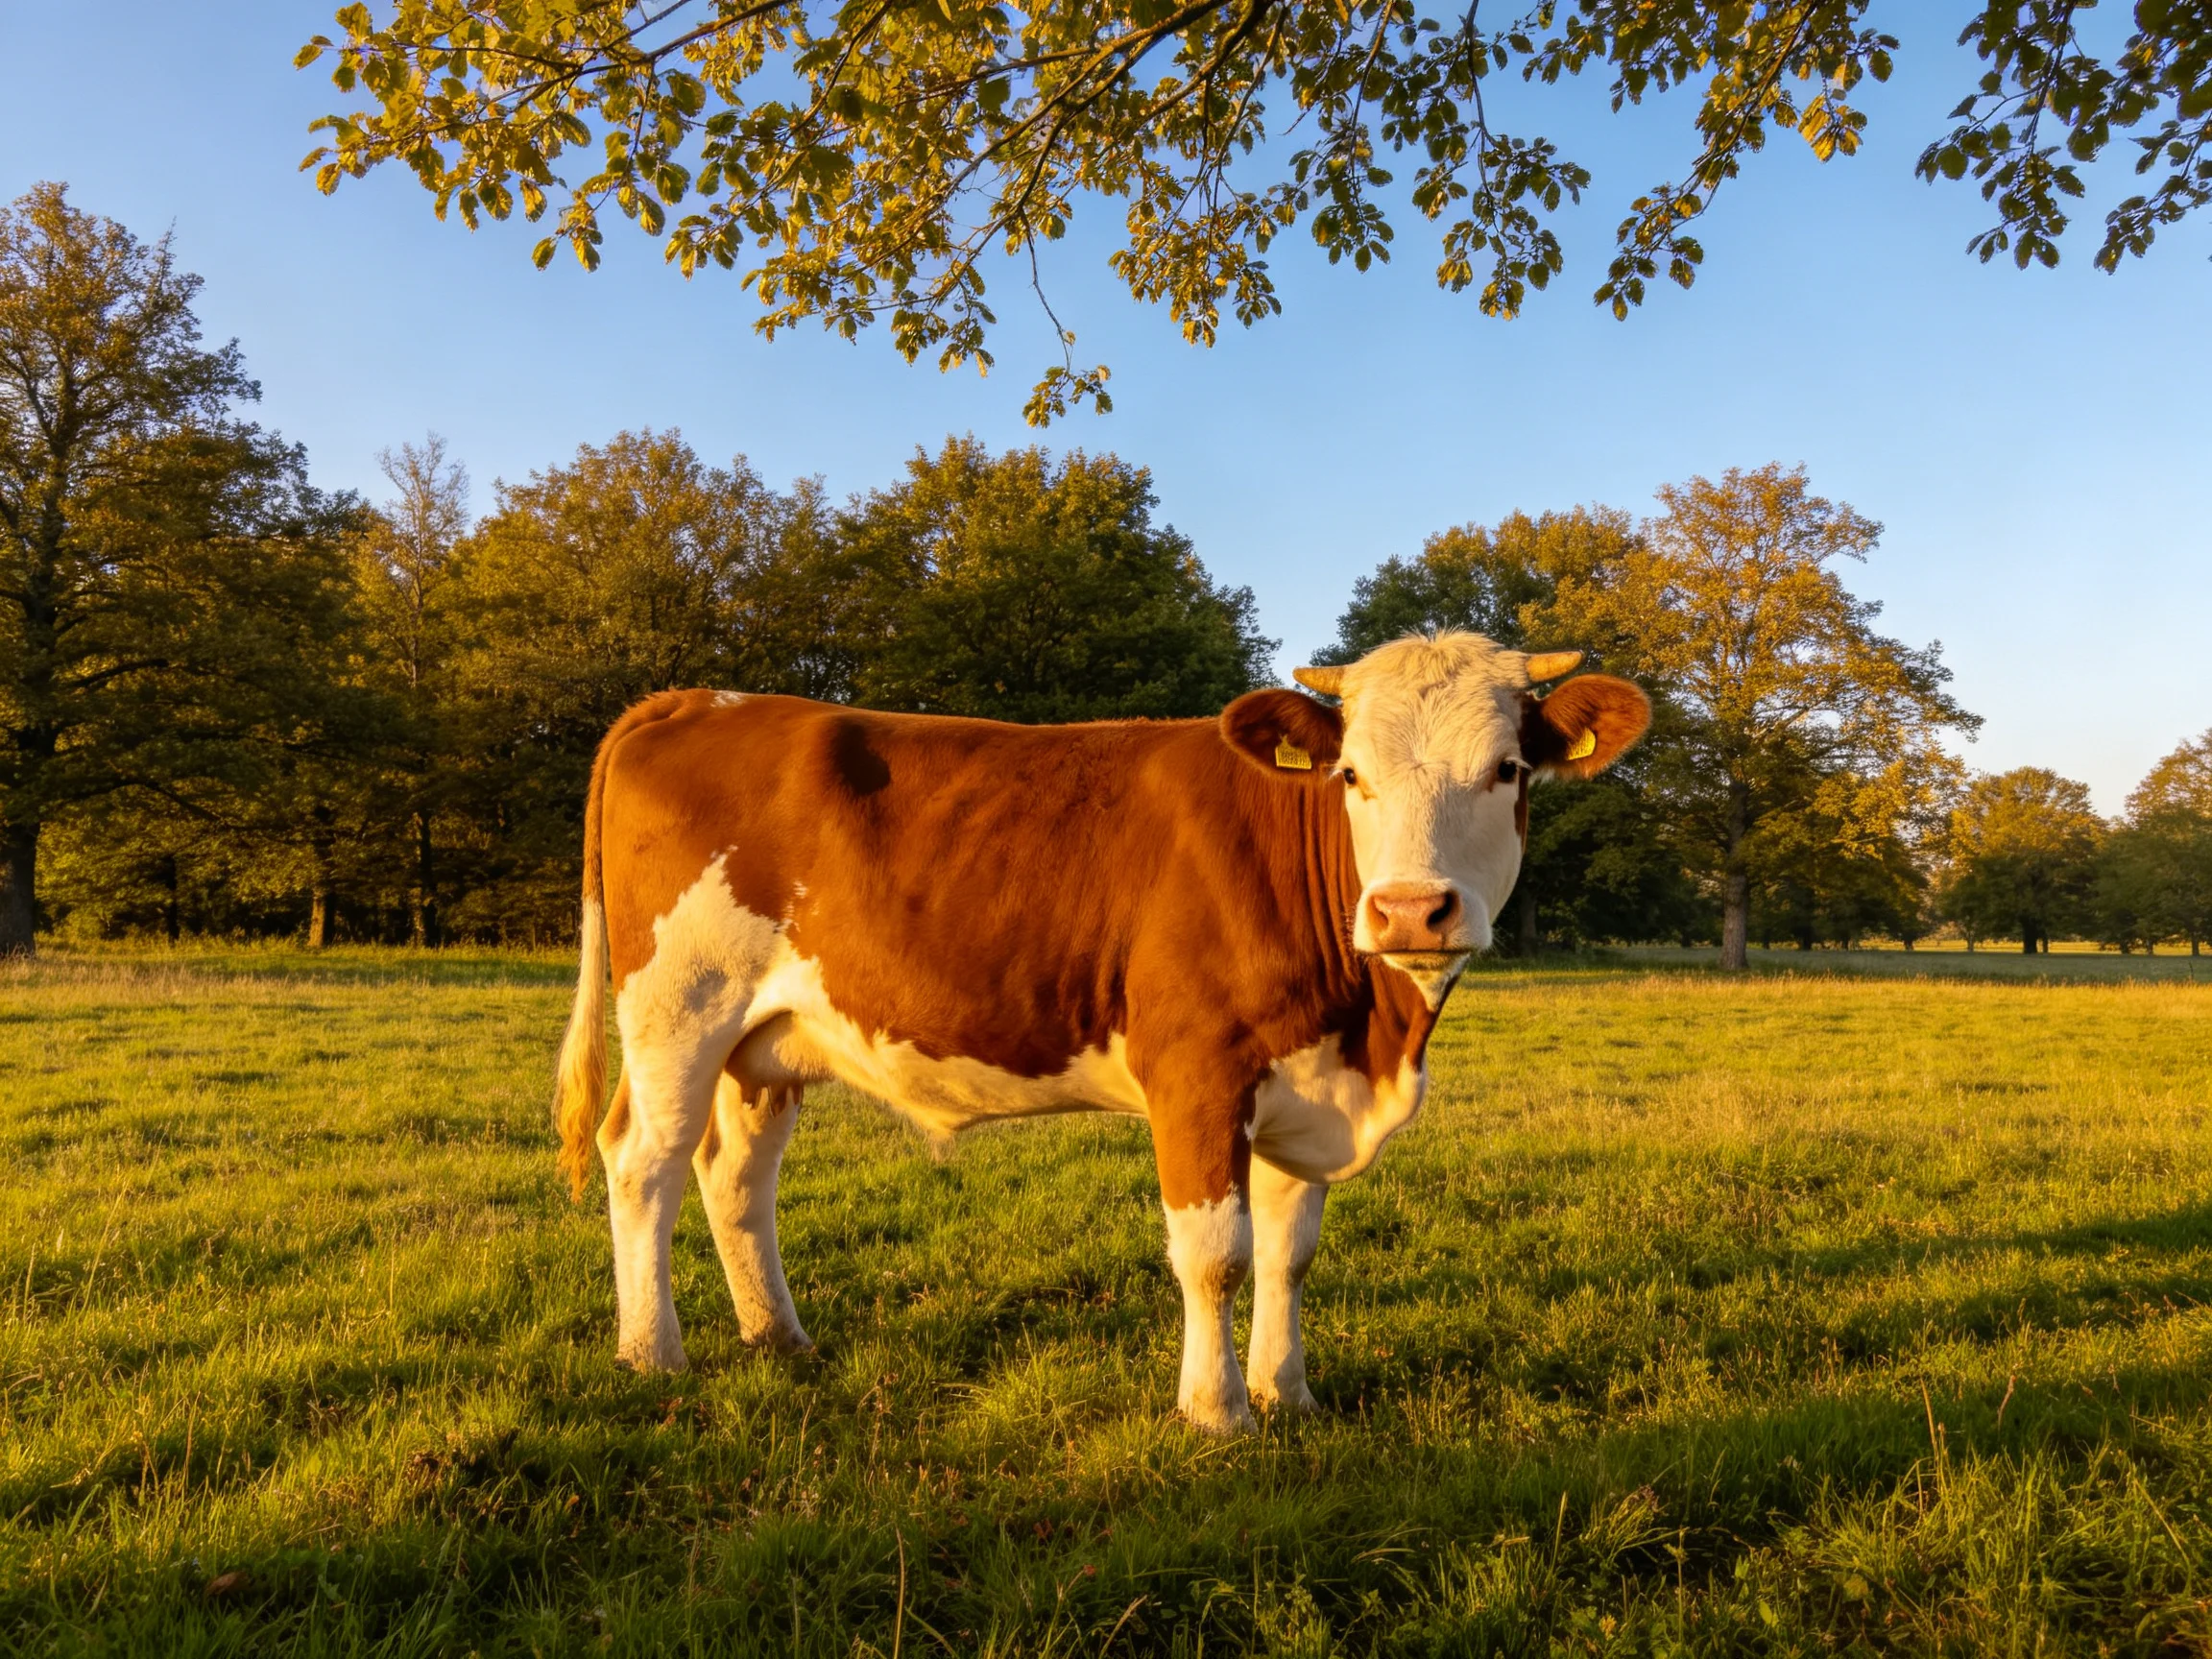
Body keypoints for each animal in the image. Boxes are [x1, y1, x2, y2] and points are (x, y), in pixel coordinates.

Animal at [552, 630, 1650, 1432]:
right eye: (1349, 776)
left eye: (1507, 770)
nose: (1411, 911)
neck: (1370, 1033)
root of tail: (700, 698)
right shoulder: (1197, 1072)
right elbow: (1215, 1253)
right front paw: (1216, 1413)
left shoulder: (1301, 1082)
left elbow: (1289, 1251)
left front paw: (1286, 1393)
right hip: (677, 1008)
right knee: (644, 1161)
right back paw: (652, 1354)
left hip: (765, 1039)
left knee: (735, 1171)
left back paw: (777, 1338)